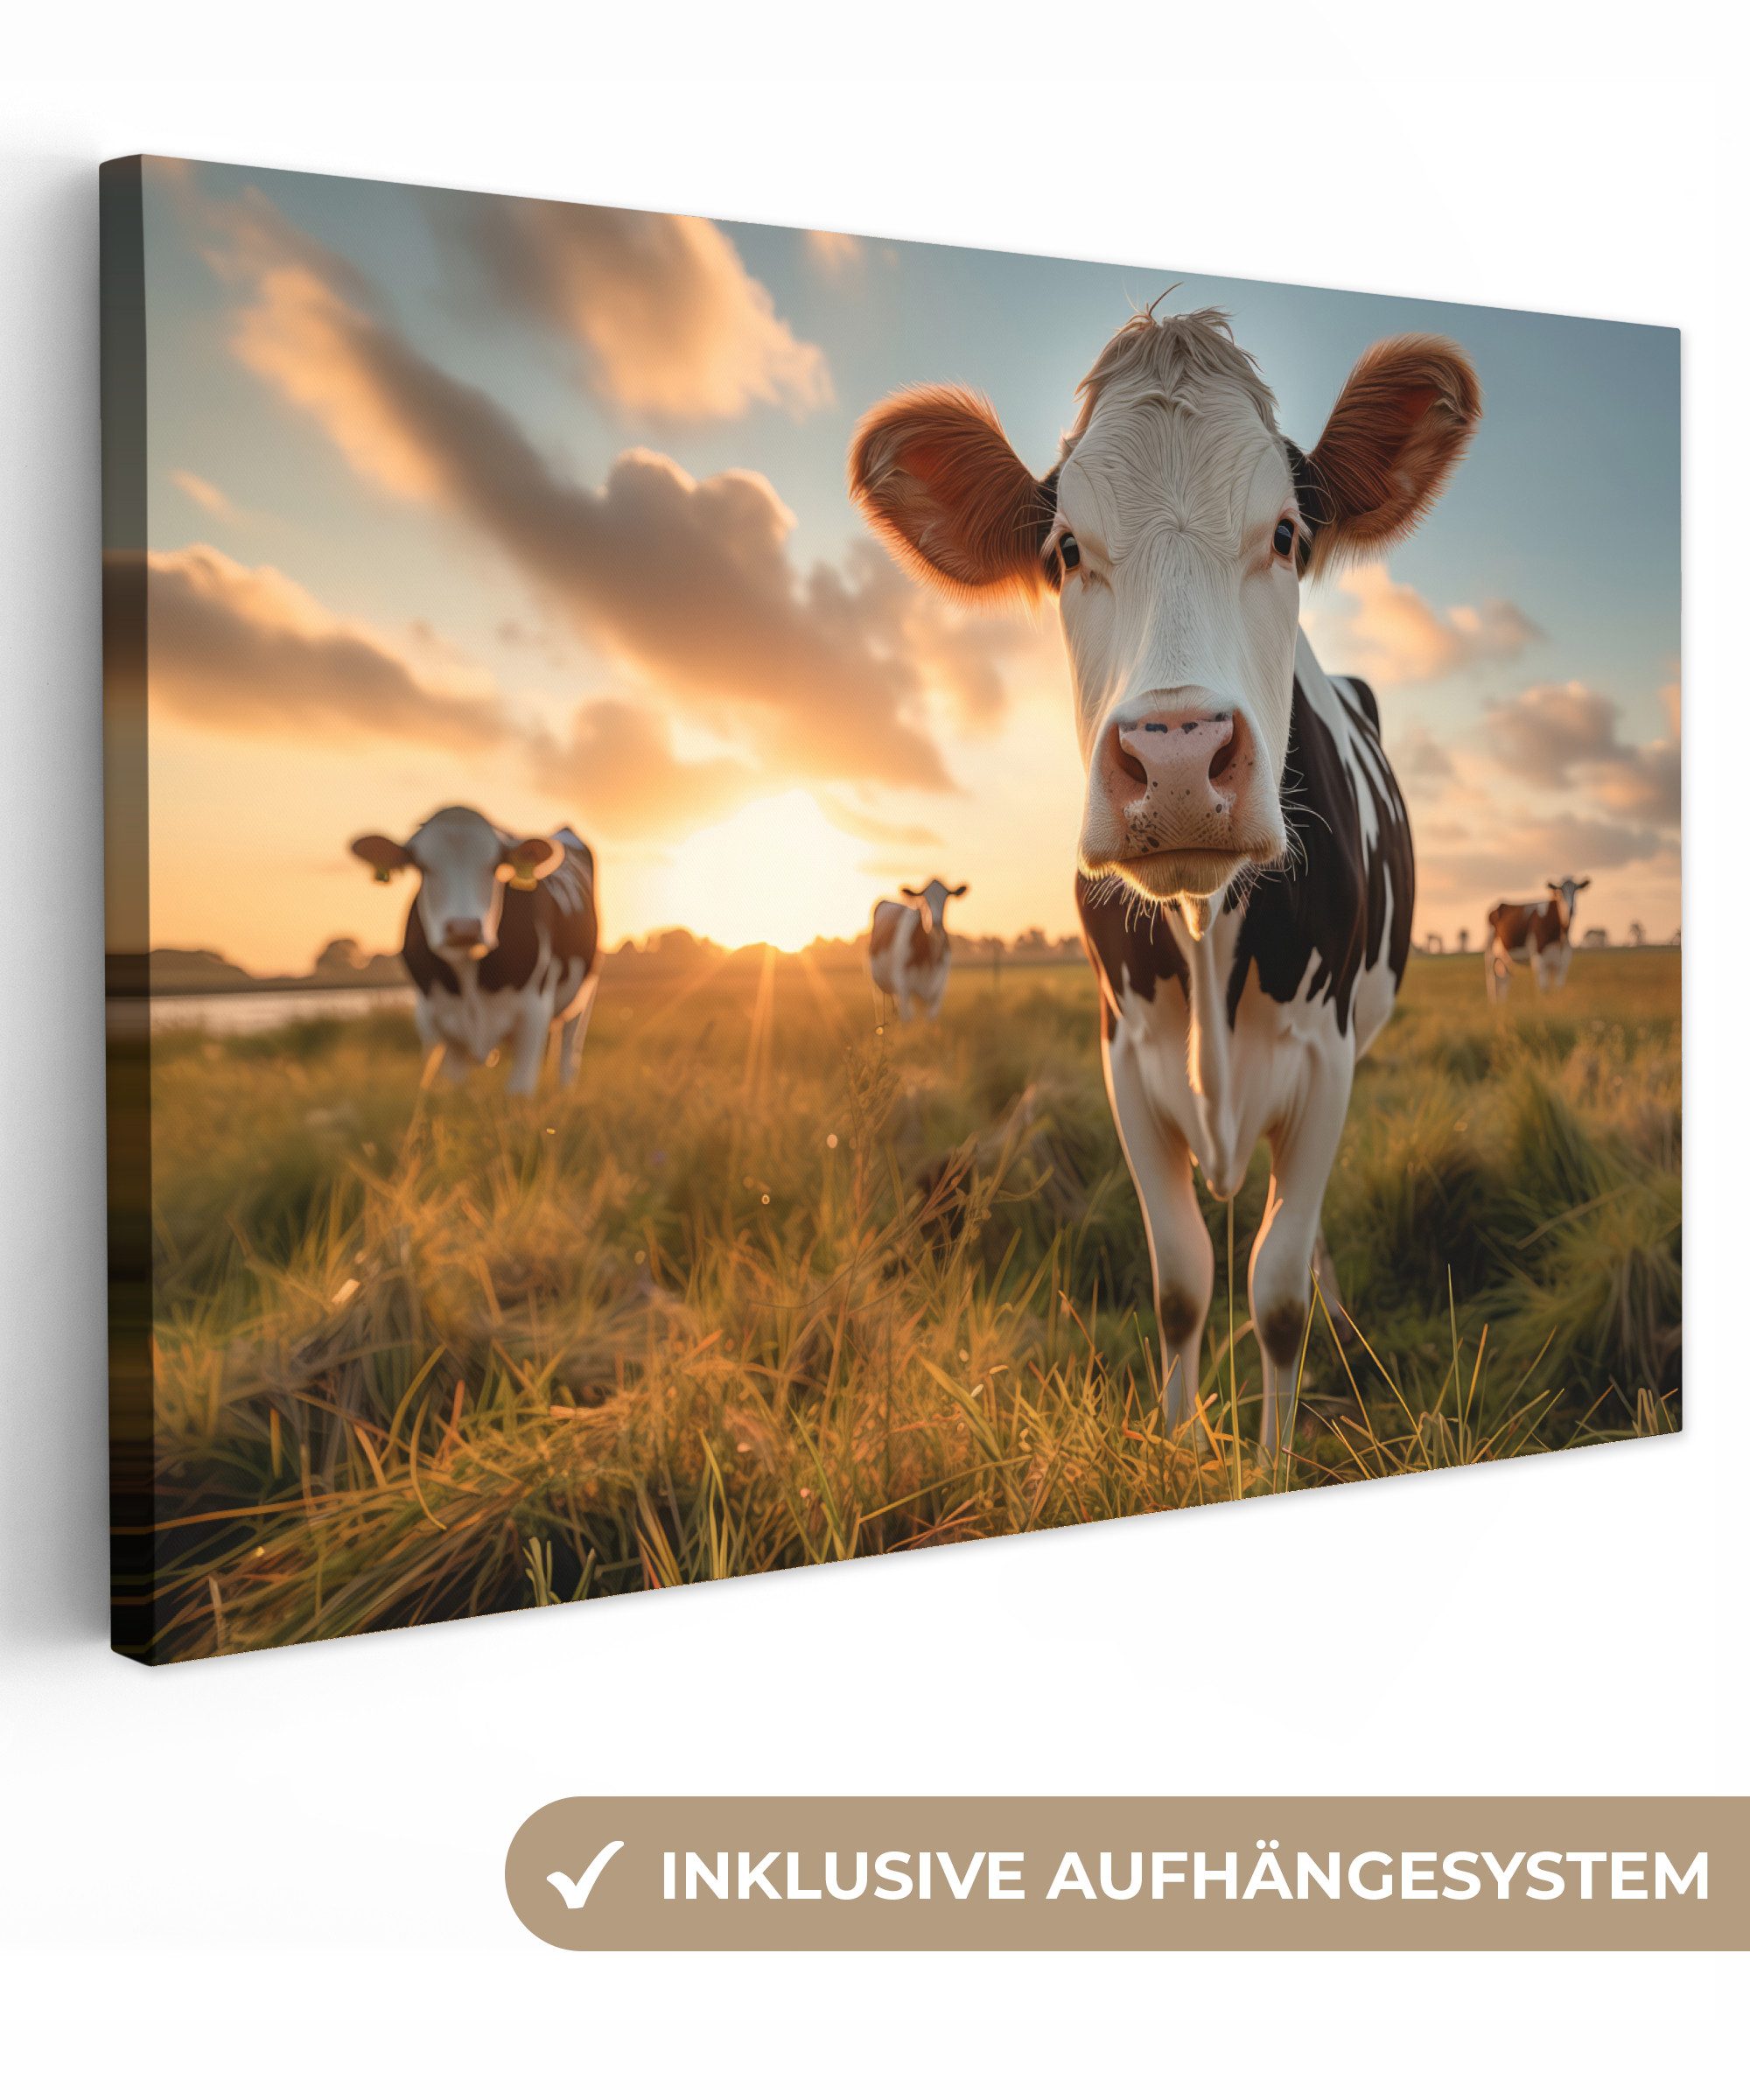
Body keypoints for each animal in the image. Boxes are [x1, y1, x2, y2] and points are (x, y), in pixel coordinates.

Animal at [348, 805, 601, 1094]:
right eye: (421, 867)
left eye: (495, 866)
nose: (463, 928)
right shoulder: (437, 1022)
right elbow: (457, 1089)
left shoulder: (533, 1014)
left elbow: (519, 1091)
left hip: (584, 995)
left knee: (570, 1050)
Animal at [868, 878, 967, 1021]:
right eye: (924, 900)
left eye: (946, 898)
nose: (936, 923)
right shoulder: (903, 986)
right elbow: (907, 1019)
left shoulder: (938, 990)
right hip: (879, 984)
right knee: (882, 1005)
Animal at [1484, 877, 1590, 1001]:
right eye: (1560, 892)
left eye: (1576, 890)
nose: (1571, 909)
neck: (1560, 937)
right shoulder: (1538, 957)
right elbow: (1544, 988)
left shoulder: (1563, 961)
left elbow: (1558, 987)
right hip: (1490, 953)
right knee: (1492, 978)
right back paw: (1493, 1003)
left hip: (1504, 956)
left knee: (1503, 976)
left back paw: (1503, 1003)